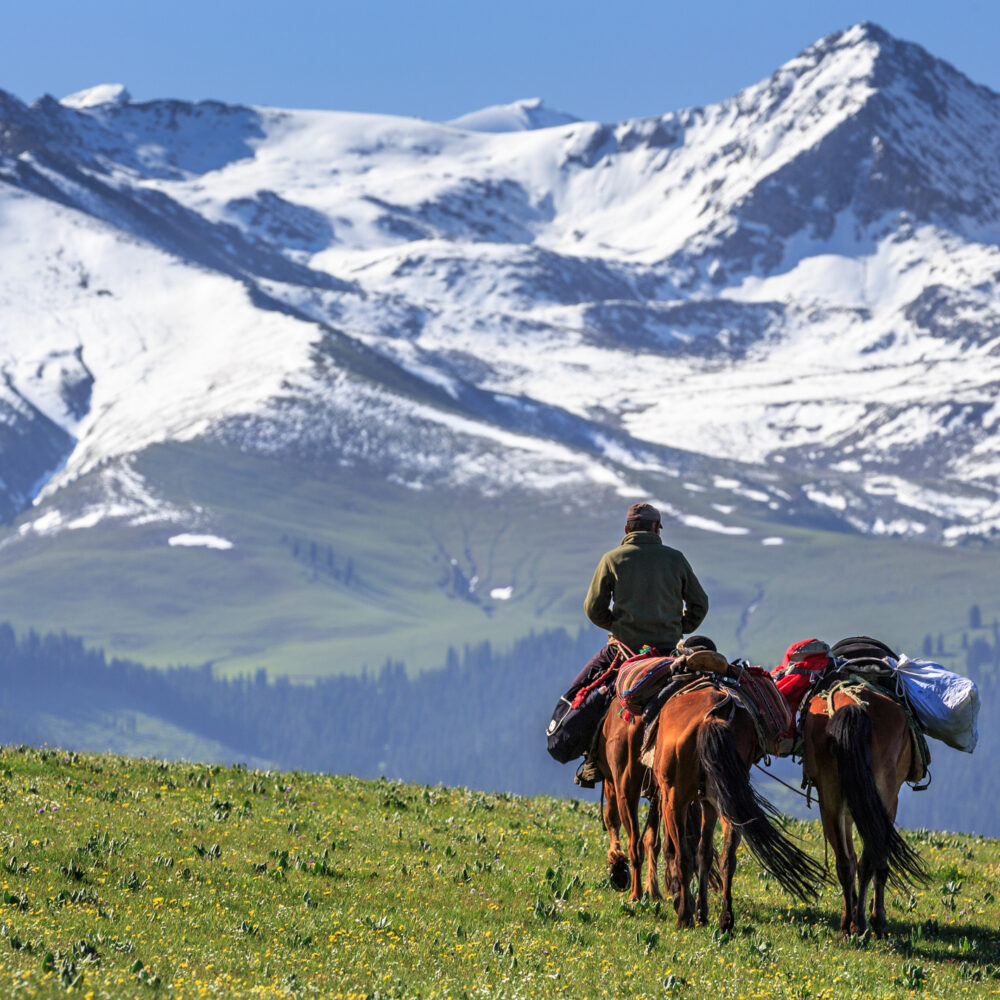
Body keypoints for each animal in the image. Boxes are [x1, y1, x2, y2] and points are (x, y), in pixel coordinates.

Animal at [652, 680, 824, 928]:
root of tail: (713, 716)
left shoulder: (670, 798)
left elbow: (678, 851)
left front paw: (686, 906)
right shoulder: (709, 804)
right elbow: (705, 853)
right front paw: (702, 912)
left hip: (676, 799)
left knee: (683, 856)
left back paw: (684, 916)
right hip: (727, 802)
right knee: (727, 856)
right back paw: (725, 918)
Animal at [800, 640, 924, 936]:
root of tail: (853, 707)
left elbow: (851, 857)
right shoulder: (888, 802)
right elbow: (877, 859)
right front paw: (876, 917)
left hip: (830, 796)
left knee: (845, 861)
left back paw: (849, 923)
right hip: (881, 794)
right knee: (871, 857)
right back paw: (869, 924)